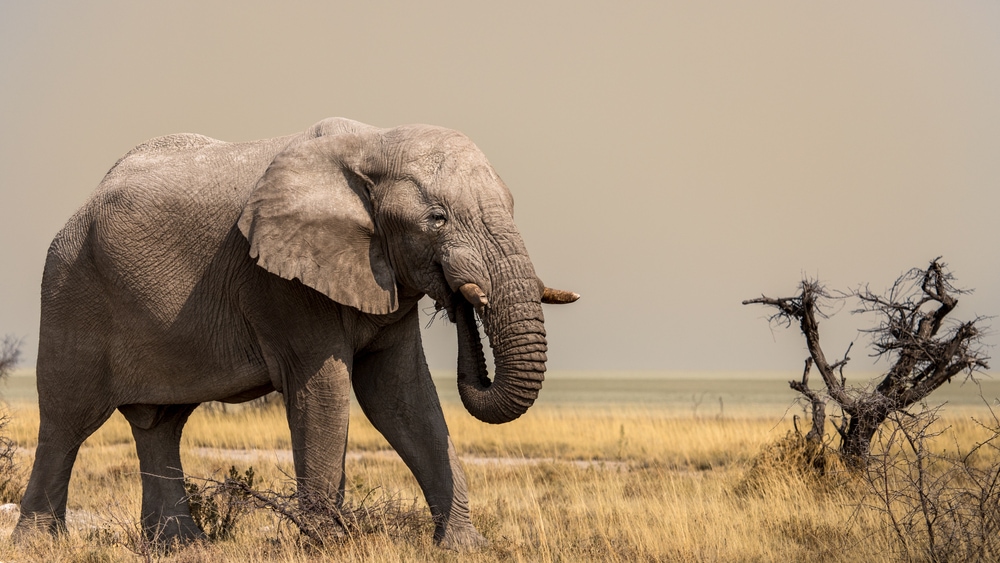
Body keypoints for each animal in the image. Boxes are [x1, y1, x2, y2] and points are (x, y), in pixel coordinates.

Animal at [14, 117, 578, 548]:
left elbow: (402, 399)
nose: (462, 300)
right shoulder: (280, 284)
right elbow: (324, 391)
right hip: (69, 289)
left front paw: (462, 547)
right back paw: (40, 544)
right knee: (67, 421)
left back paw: (181, 547)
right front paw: (327, 546)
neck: (374, 145)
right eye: (437, 218)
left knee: (160, 425)